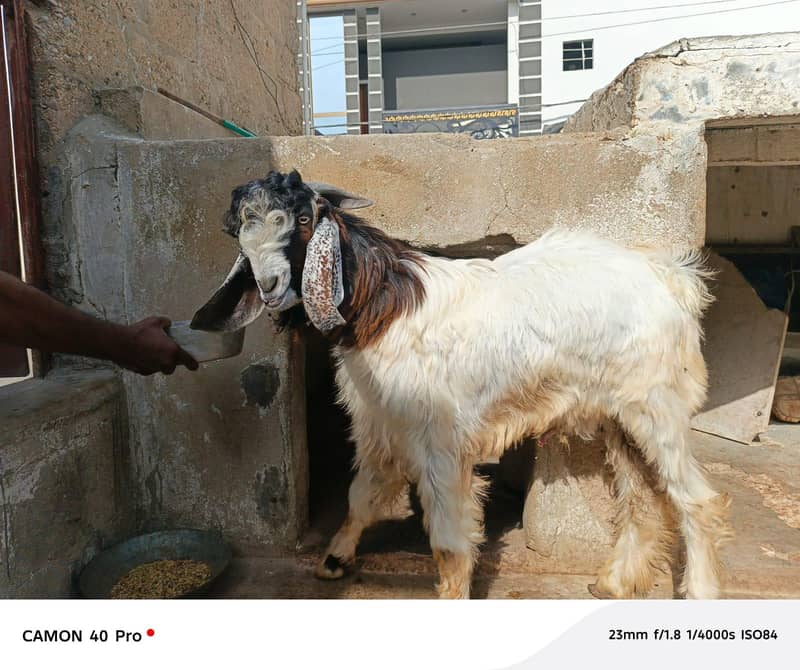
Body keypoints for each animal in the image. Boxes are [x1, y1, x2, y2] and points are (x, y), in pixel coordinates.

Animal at [193, 169, 733, 599]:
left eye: (304, 220)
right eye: (238, 234)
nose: (269, 287)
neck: (384, 307)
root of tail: (670, 277)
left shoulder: (441, 439)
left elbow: (450, 540)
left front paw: (452, 596)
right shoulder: (382, 424)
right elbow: (363, 495)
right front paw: (334, 559)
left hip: (657, 404)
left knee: (695, 499)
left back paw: (700, 591)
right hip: (619, 414)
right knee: (642, 496)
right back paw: (615, 582)